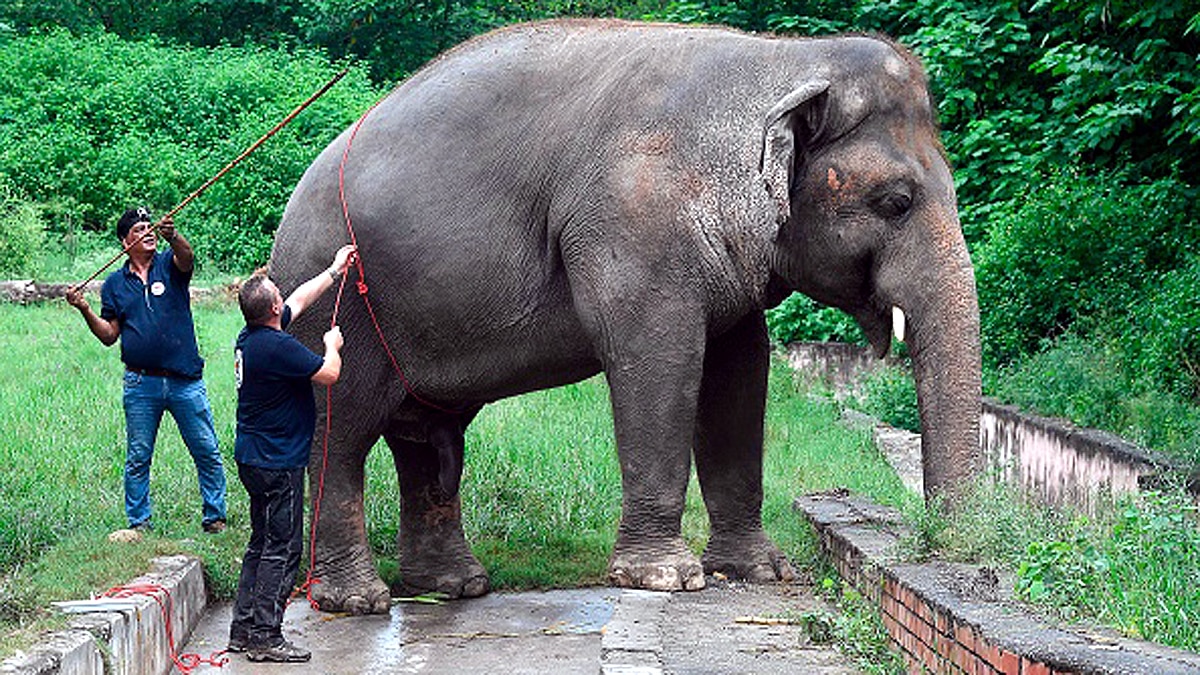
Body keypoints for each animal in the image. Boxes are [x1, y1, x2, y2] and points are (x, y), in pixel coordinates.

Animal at [270, 19, 982, 614]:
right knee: (343, 433)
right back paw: (356, 600)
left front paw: (759, 572)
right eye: (896, 202)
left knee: (428, 438)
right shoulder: (633, 226)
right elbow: (662, 359)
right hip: (336, 305)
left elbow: (740, 373)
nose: (957, 563)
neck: (782, 60)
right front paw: (667, 579)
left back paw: (454, 587)